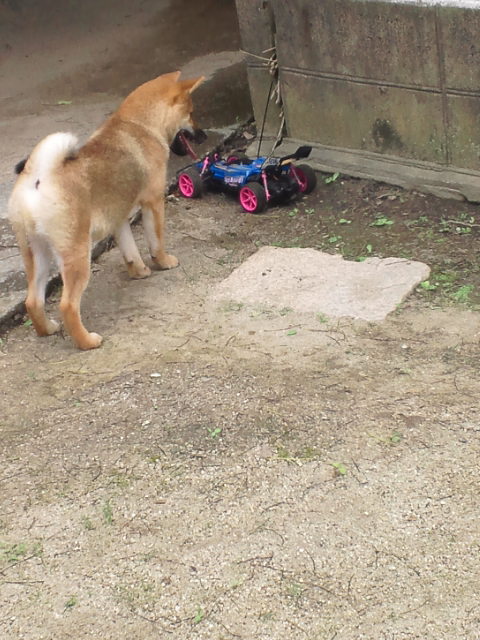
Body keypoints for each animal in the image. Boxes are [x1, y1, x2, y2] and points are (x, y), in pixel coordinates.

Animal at [8, 71, 204, 350]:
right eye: (191, 113)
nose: (203, 134)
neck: (139, 125)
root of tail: (39, 179)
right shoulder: (153, 202)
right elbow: (156, 242)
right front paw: (163, 262)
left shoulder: (118, 216)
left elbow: (130, 249)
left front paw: (139, 271)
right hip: (77, 254)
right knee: (68, 305)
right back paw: (87, 341)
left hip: (37, 252)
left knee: (33, 300)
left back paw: (47, 329)